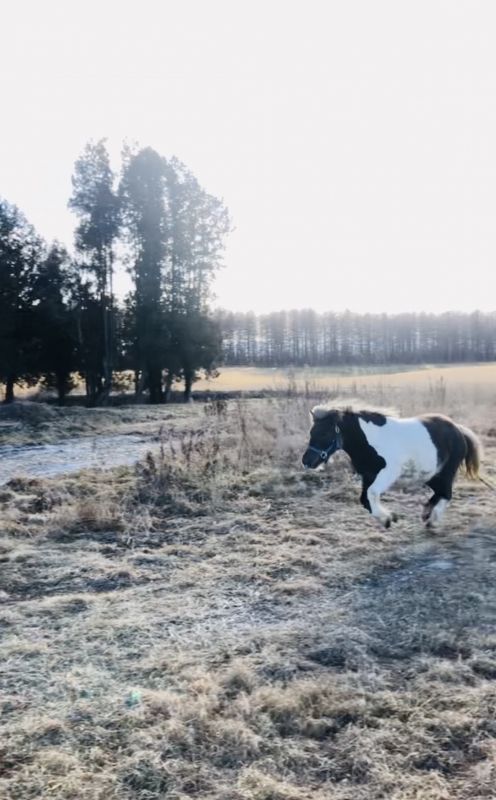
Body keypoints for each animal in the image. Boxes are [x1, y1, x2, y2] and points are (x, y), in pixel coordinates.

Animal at [300, 406, 482, 532]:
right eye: (311, 432)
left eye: (324, 433)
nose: (306, 461)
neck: (371, 440)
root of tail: (458, 429)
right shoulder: (368, 475)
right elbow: (364, 499)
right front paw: (388, 519)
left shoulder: (388, 473)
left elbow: (371, 494)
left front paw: (388, 519)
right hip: (432, 475)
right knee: (440, 493)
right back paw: (426, 515)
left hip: (446, 472)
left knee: (446, 494)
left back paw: (432, 521)